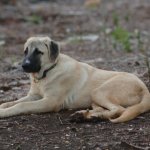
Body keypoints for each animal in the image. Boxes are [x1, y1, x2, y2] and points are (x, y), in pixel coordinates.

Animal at [0, 36, 150, 123]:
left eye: (38, 52)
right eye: (25, 51)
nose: (24, 66)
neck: (48, 72)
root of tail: (144, 87)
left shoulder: (50, 102)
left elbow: (22, 105)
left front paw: (3, 112)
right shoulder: (34, 96)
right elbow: (13, 102)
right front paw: (4, 106)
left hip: (99, 91)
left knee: (119, 110)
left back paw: (93, 117)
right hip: (94, 98)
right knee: (106, 109)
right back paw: (86, 115)